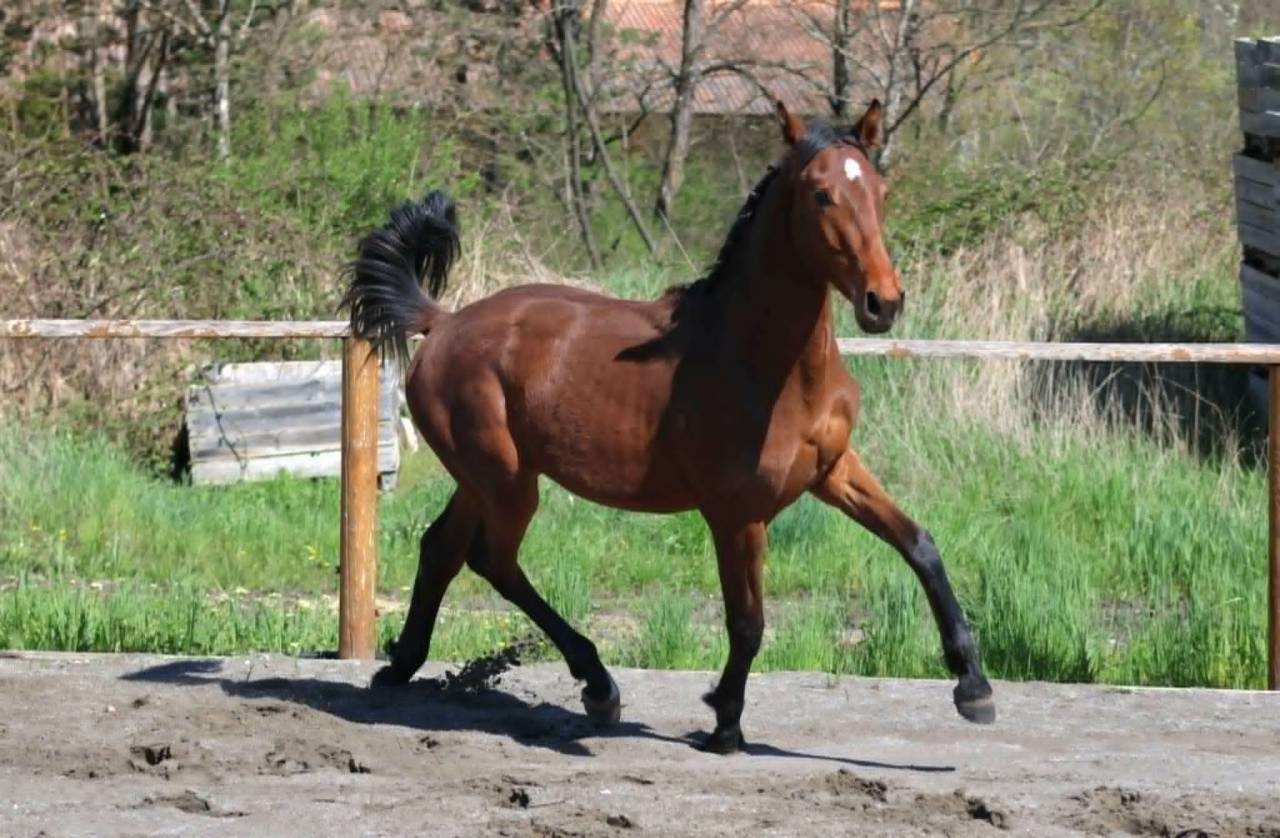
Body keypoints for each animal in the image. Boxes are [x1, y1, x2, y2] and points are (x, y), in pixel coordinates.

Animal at [344, 100, 994, 753]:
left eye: (881, 191)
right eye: (820, 194)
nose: (883, 302)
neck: (765, 362)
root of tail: (442, 323)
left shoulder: (833, 471)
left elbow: (919, 544)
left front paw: (973, 686)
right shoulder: (737, 513)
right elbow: (748, 621)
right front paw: (725, 722)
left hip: (485, 479)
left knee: (442, 548)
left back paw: (401, 667)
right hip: (506, 481)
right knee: (493, 560)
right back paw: (597, 685)